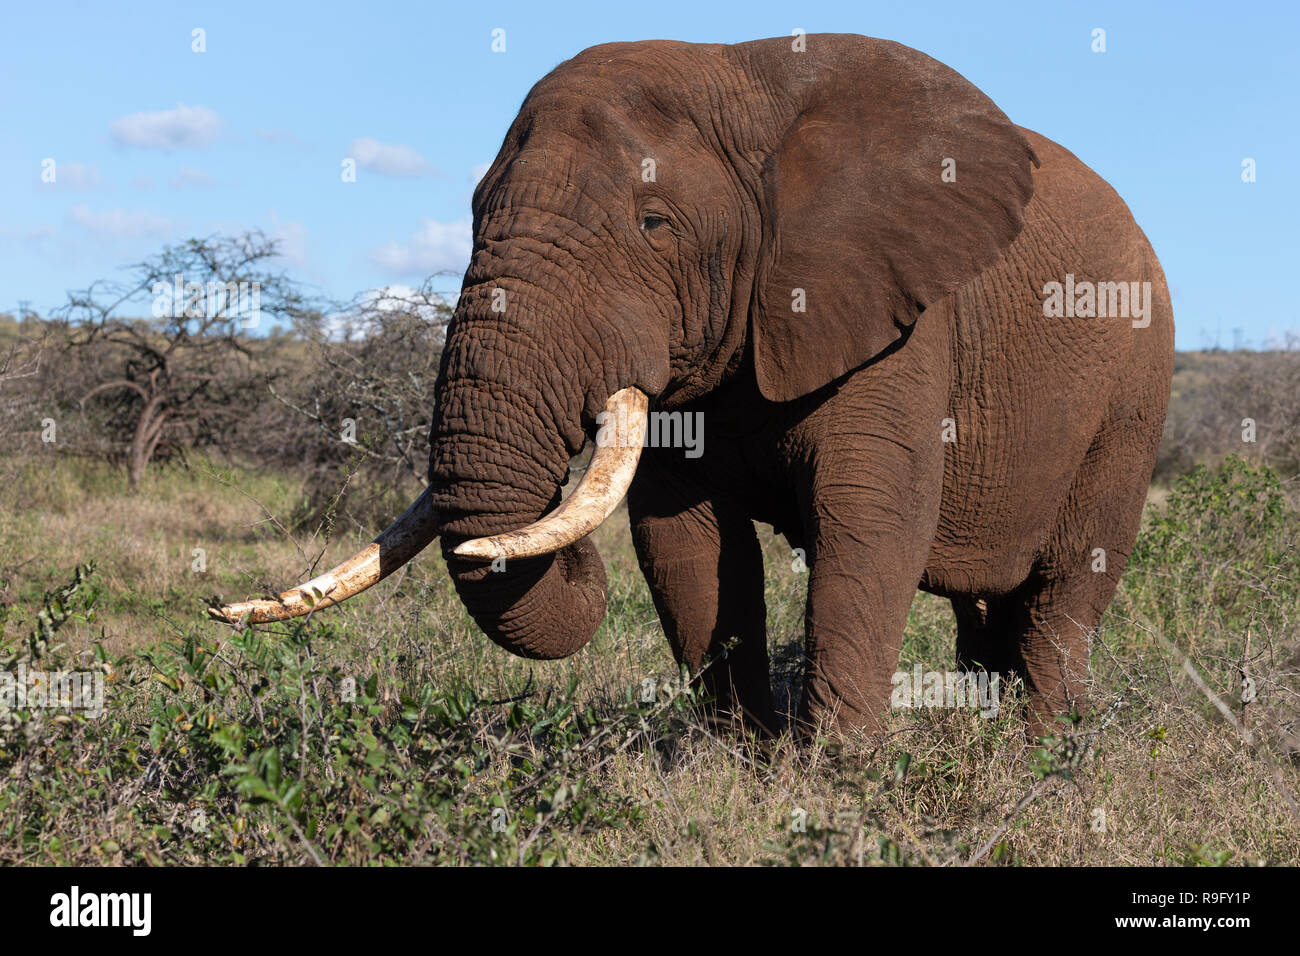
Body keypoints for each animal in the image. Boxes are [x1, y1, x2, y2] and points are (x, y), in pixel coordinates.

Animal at [213, 34, 1174, 741]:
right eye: (477, 212)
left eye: (655, 223)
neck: (741, 82)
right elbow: (687, 541)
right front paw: (739, 763)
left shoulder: (899, 314)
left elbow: (869, 522)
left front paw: (834, 780)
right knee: (987, 615)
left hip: (1136, 389)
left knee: (1064, 591)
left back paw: (1048, 753)